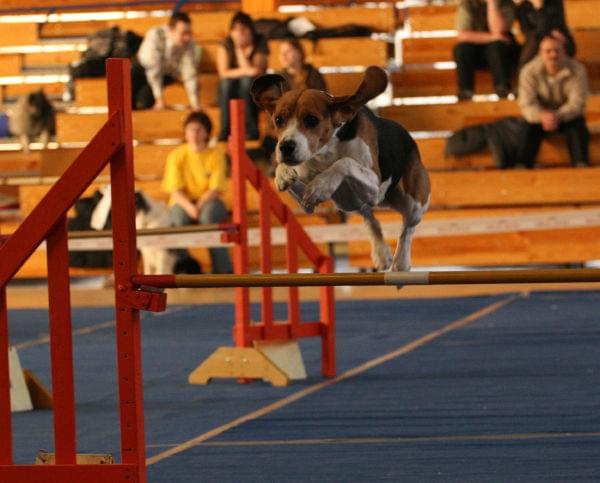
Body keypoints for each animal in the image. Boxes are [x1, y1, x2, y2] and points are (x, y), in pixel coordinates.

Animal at [251, 64, 428, 272]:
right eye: (278, 119)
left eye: (311, 120)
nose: (286, 147)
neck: (326, 152)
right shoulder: (306, 203)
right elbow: (294, 180)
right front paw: (283, 174)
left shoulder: (375, 185)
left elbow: (344, 162)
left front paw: (320, 186)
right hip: (351, 203)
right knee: (371, 219)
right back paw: (381, 253)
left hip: (411, 202)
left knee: (407, 228)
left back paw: (401, 261)